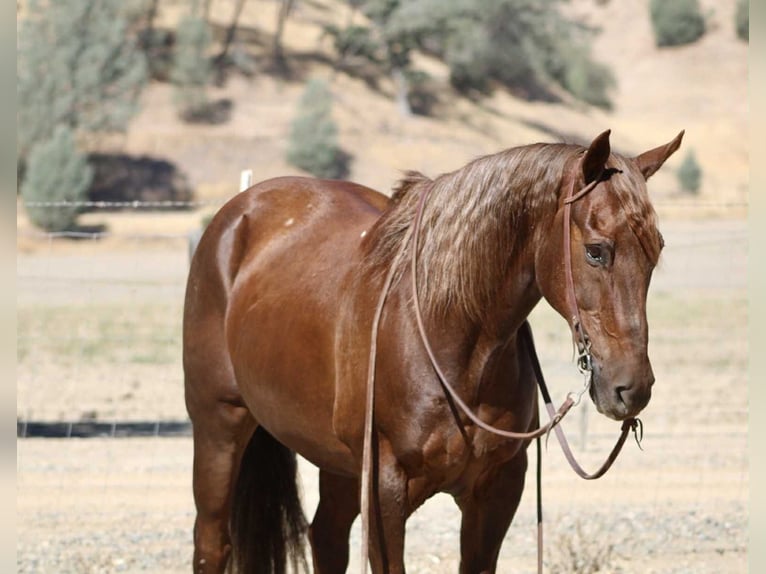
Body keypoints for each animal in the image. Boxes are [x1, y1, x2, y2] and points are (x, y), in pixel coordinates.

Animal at [183, 129, 683, 574]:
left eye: (656, 251)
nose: (632, 388)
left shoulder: (495, 491)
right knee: (212, 543)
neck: (453, 340)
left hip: (337, 463)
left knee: (325, 537)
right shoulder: (385, 492)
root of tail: (239, 213)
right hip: (218, 428)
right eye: (597, 251)